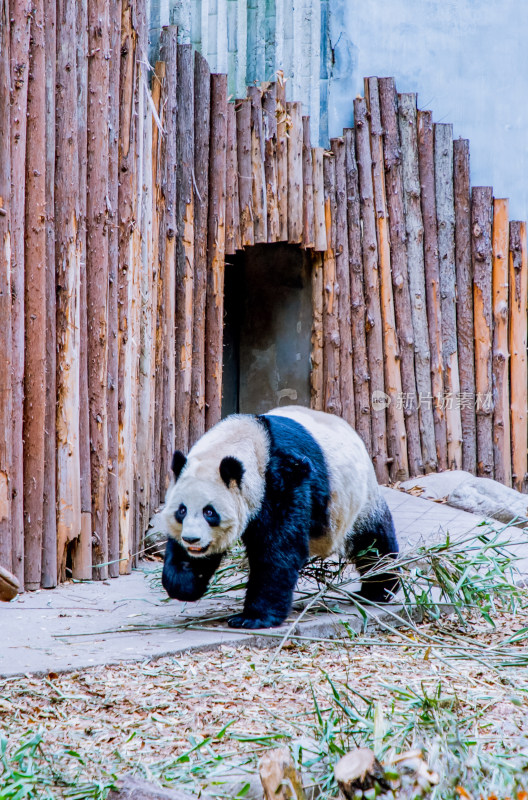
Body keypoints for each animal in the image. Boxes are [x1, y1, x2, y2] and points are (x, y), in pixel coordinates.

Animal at [163, 410, 398, 628]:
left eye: (209, 512)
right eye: (181, 511)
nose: (191, 540)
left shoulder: (282, 481)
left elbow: (277, 550)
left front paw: (253, 618)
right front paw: (185, 583)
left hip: (358, 501)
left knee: (373, 543)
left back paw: (380, 588)